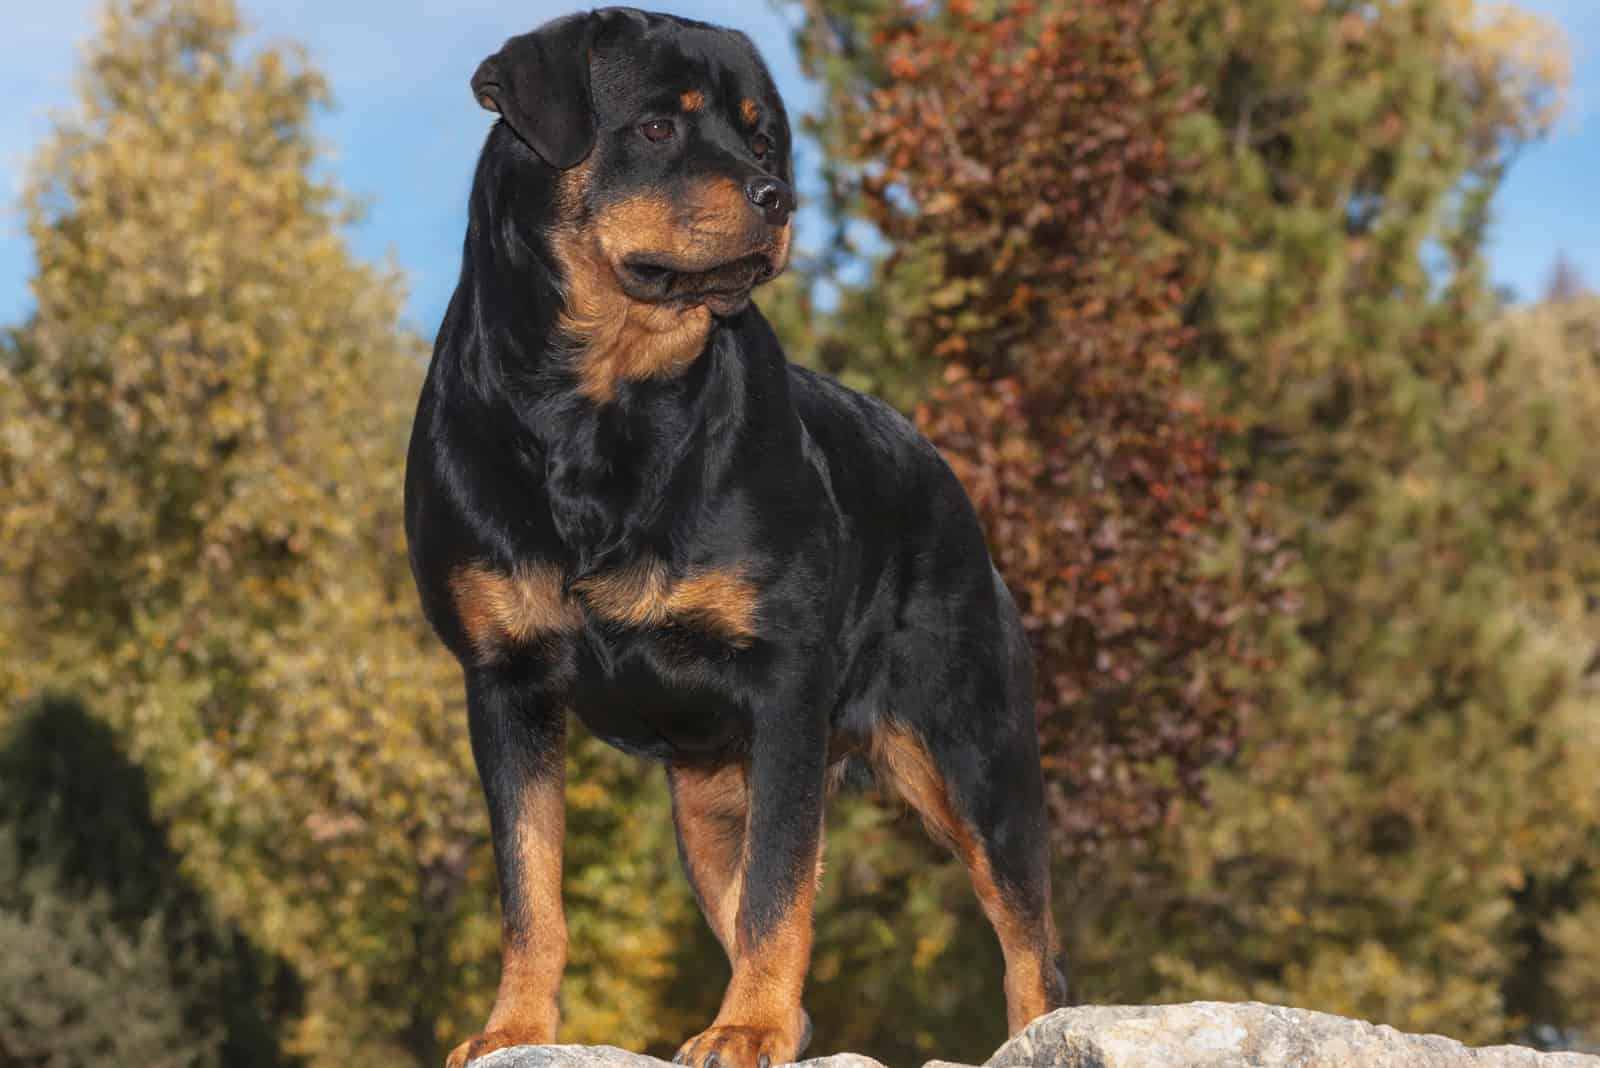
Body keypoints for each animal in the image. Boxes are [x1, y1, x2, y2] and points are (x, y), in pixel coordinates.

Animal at [406, 10, 1068, 1068]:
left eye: (763, 141)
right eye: (657, 129)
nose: (778, 196)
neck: (597, 404)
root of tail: (942, 470)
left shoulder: (786, 683)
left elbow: (777, 893)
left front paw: (744, 1027)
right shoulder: (504, 682)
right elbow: (530, 891)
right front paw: (512, 1029)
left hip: (975, 750)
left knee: (1030, 948)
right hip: (710, 794)